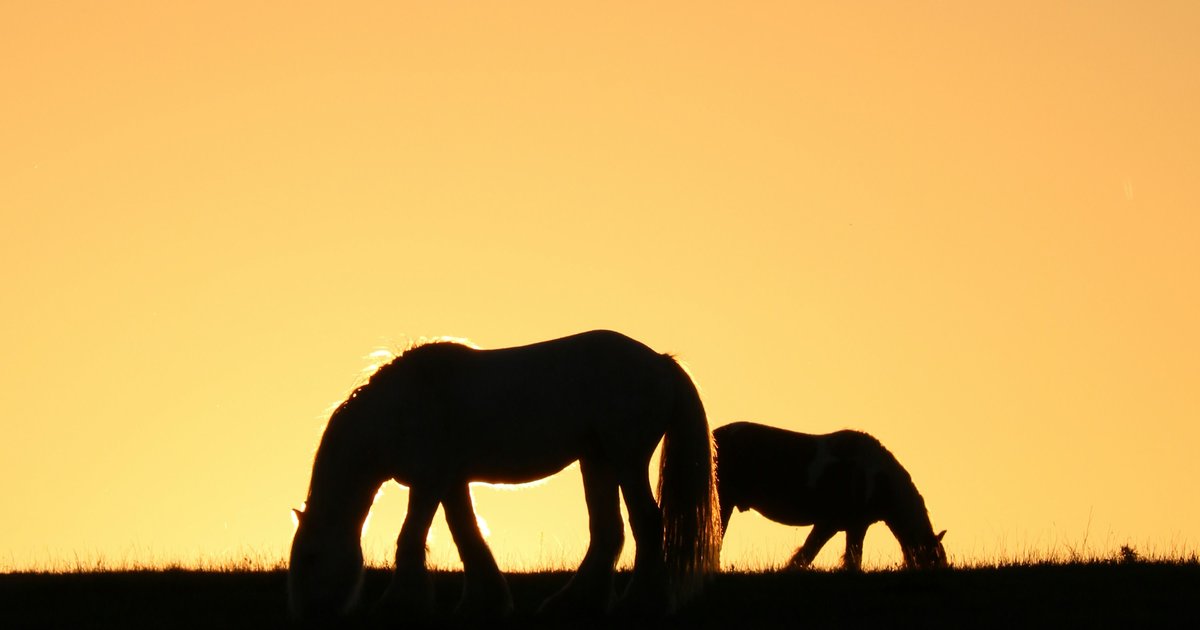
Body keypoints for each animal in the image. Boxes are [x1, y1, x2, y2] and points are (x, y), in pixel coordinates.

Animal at [288, 330, 722, 622]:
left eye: (310, 558)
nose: (308, 614)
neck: (399, 409)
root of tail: (660, 362)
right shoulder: (451, 482)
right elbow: (467, 535)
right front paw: (485, 602)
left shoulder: (429, 482)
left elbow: (411, 538)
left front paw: (399, 604)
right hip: (597, 461)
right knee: (607, 532)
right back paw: (574, 603)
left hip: (626, 460)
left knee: (646, 522)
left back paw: (641, 603)